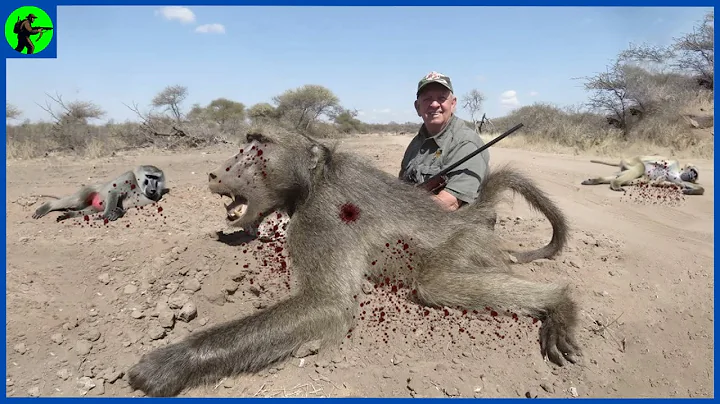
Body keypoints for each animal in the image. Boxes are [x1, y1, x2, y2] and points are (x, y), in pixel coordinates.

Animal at [32, 165, 170, 222]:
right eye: (149, 176)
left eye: (156, 178)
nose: (152, 189)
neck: (138, 185)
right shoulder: (128, 177)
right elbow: (113, 192)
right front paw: (108, 215)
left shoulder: (153, 197)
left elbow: (124, 207)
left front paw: (117, 213)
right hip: (91, 190)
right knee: (76, 201)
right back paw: (47, 206)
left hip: (93, 205)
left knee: (88, 210)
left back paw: (69, 215)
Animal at [126, 126, 580, 397]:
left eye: (258, 150)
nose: (216, 173)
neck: (316, 178)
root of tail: (469, 220)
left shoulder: (322, 217)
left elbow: (328, 303)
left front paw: (169, 363)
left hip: (468, 245)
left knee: (436, 283)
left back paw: (559, 303)